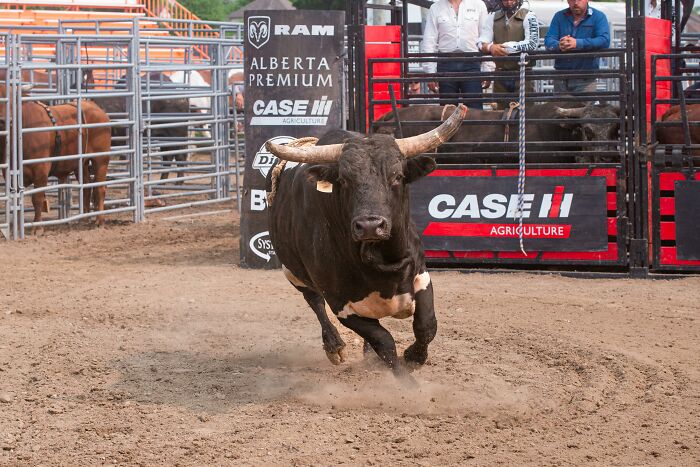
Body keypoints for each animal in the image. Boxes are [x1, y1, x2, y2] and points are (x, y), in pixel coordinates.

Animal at [0, 84, 111, 233]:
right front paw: (17, 228)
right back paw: (84, 219)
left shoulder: (41, 169)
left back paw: (100, 221)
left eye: (13, 100)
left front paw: (38, 228)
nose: (4, 120)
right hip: (80, 164)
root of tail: (96, 108)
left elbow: (37, 198)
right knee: (86, 187)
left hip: (101, 159)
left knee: (100, 188)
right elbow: (16, 200)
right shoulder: (10, 173)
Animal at [265, 104, 468, 381]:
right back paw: (334, 346)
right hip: (292, 272)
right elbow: (384, 341)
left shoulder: (421, 276)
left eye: (397, 176)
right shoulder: (341, 304)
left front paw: (414, 357)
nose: (370, 225)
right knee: (313, 301)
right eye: (344, 180)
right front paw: (406, 382)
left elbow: (426, 325)